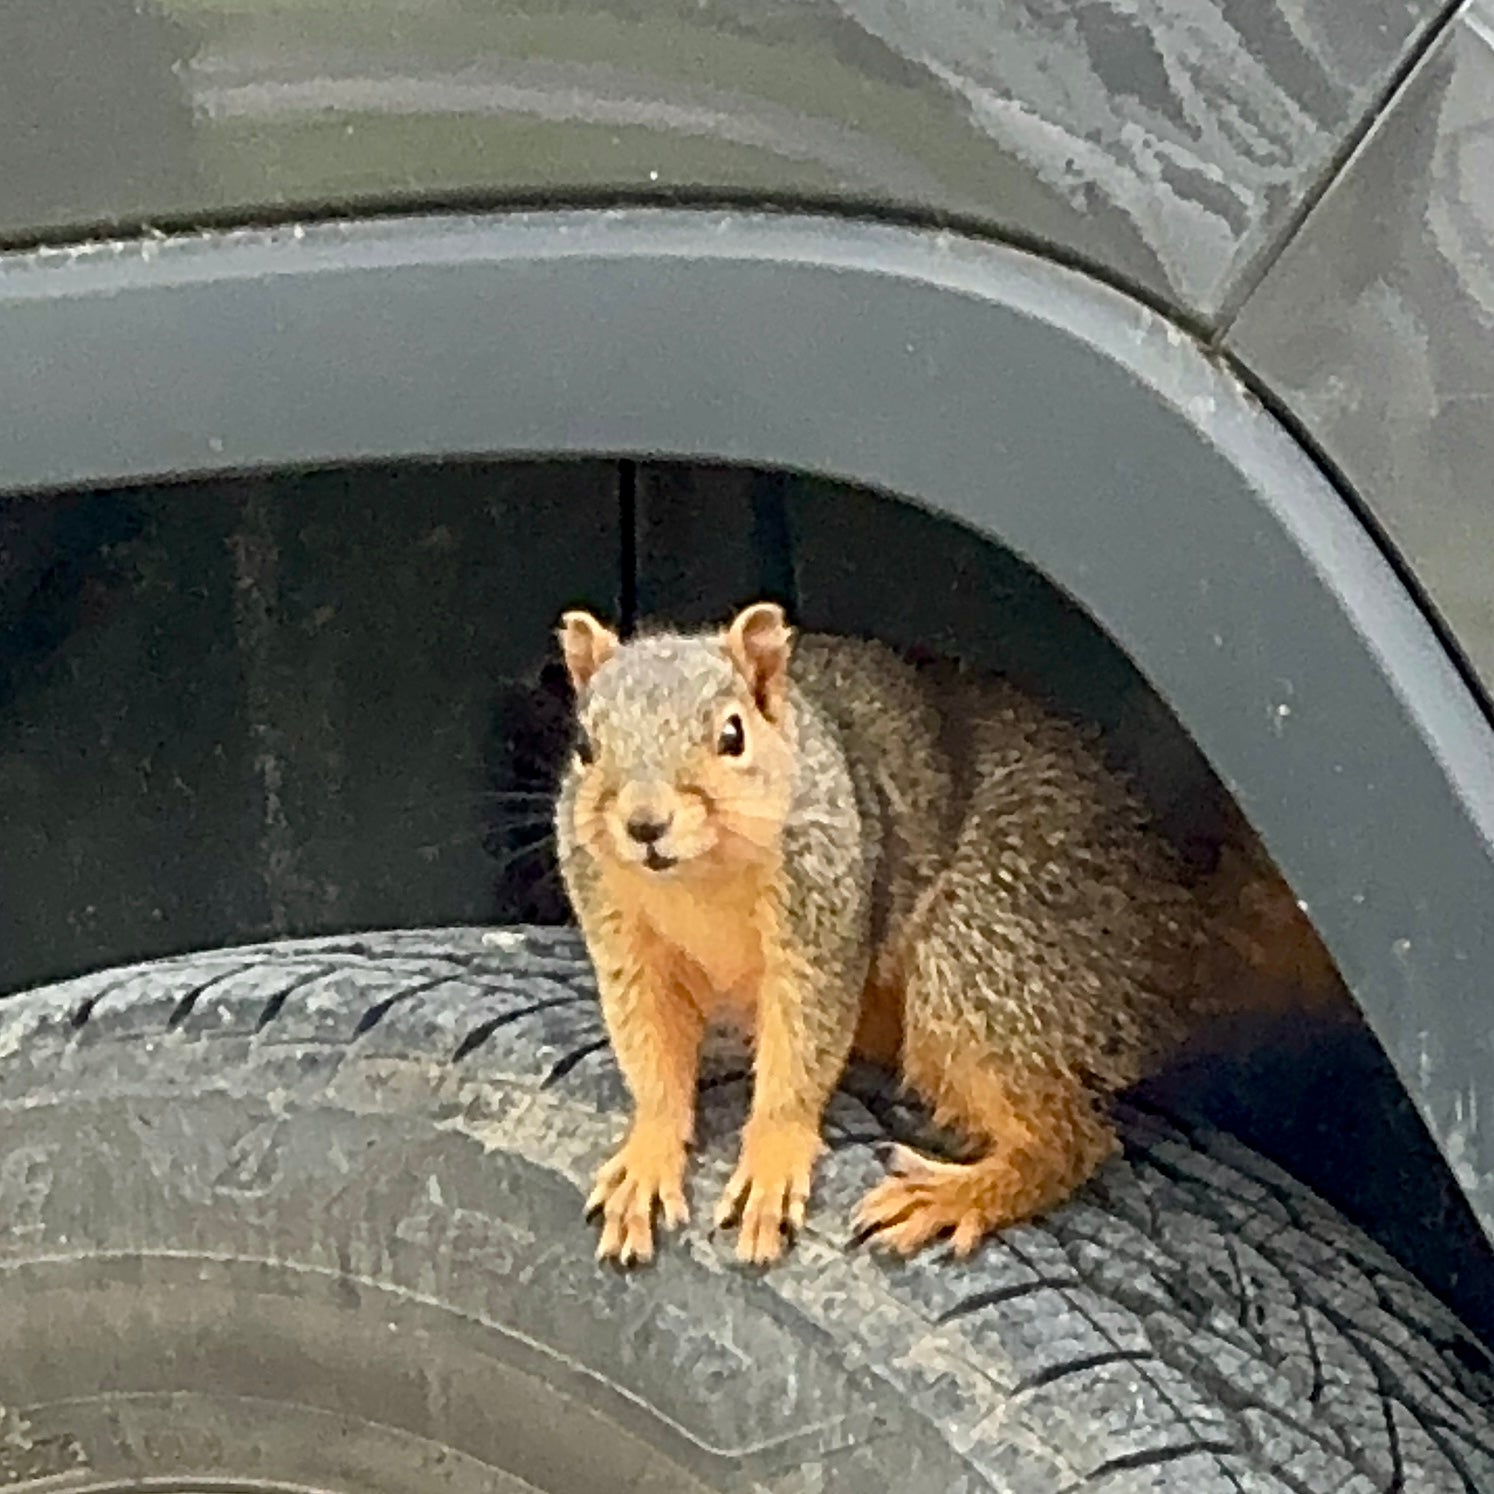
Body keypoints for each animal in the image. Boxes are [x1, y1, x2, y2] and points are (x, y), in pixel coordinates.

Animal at [554, 601, 1348, 1266]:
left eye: (732, 734)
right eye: (585, 746)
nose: (645, 824)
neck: (698, 881)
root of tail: (1171, 926)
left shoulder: (824, 916)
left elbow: (803, 1046)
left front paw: (773, 1154)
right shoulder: (620, 935)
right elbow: (650, 1051)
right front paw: (648, 1153)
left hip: (985, 953)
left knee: (1071, 1141)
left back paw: (961, 1192)